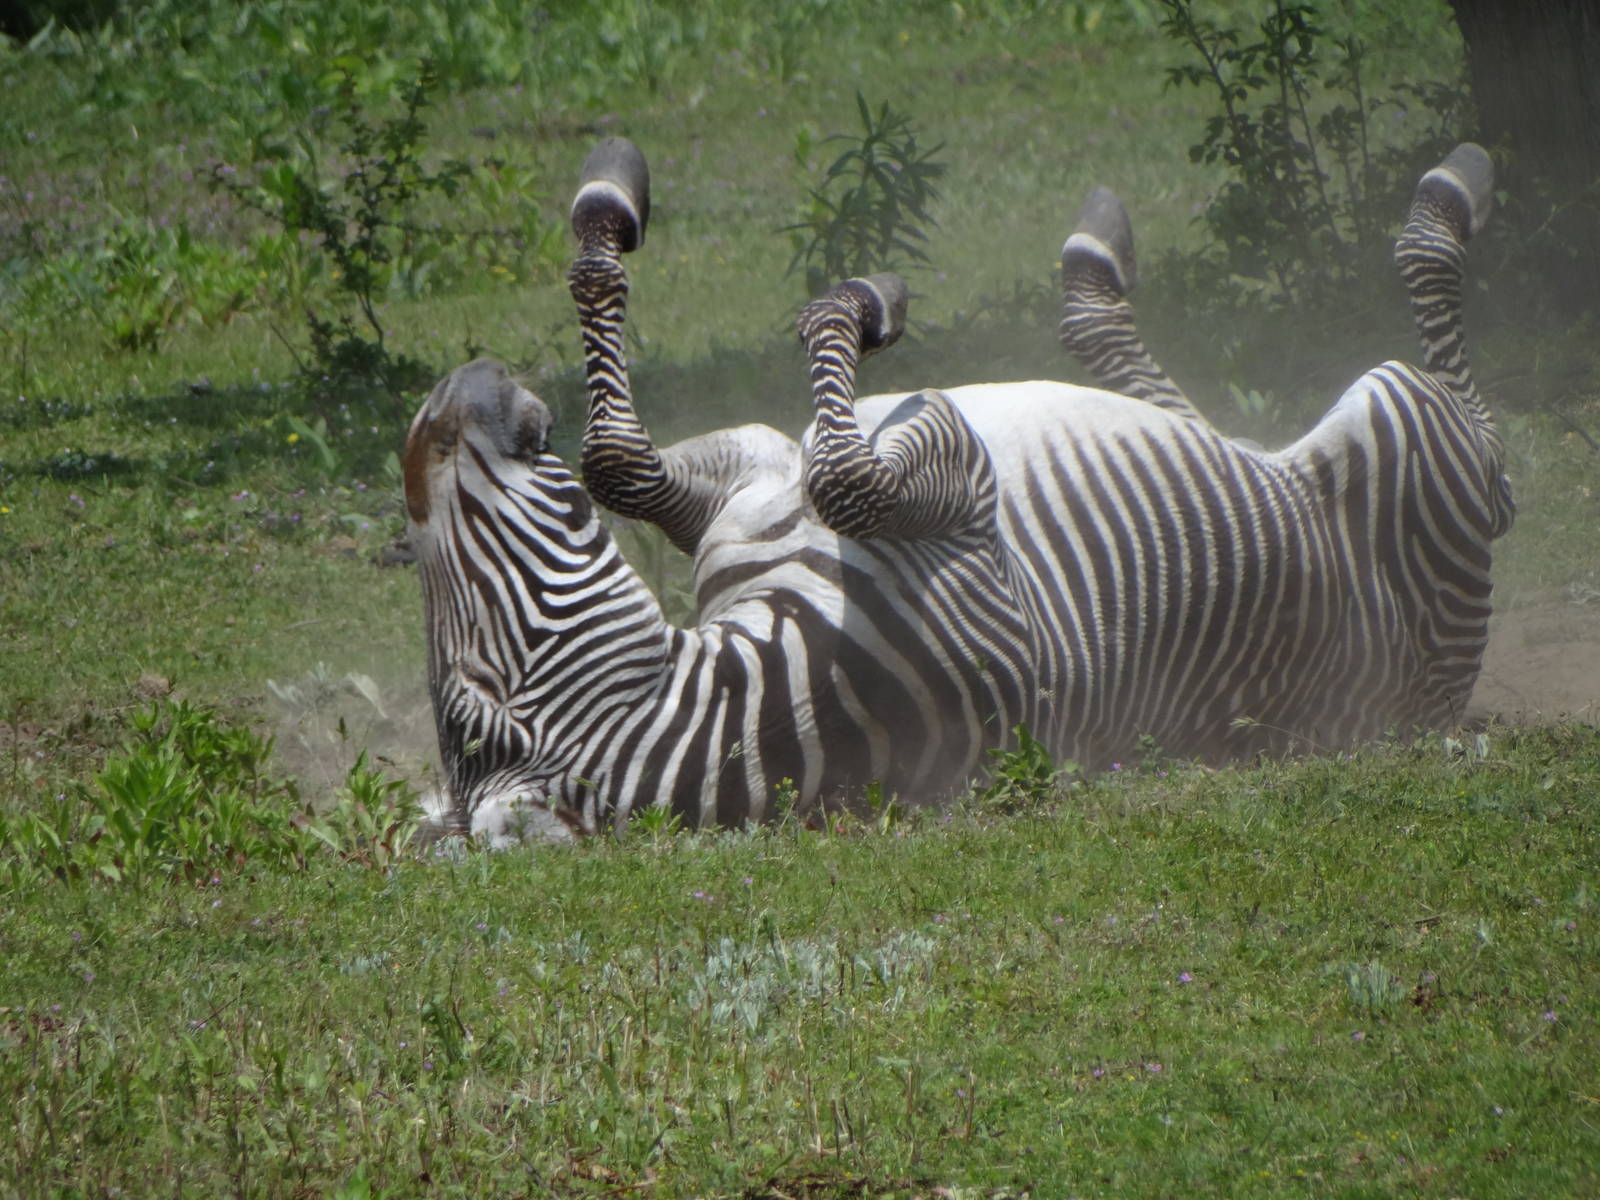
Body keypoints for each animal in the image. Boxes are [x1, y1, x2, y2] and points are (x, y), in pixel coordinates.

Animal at [404, 137, 1512, 843]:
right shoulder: (957, 504)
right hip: (1411, 432)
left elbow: (622, 459)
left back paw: (1096, 262)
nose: (452, 394)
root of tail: (1434, 701)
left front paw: (609, 208)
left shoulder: (743, 486)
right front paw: (865, 300)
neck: (773, 686)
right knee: (1481, 432)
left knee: (1190, 411)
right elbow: (844, 471)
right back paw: (1452, 191)